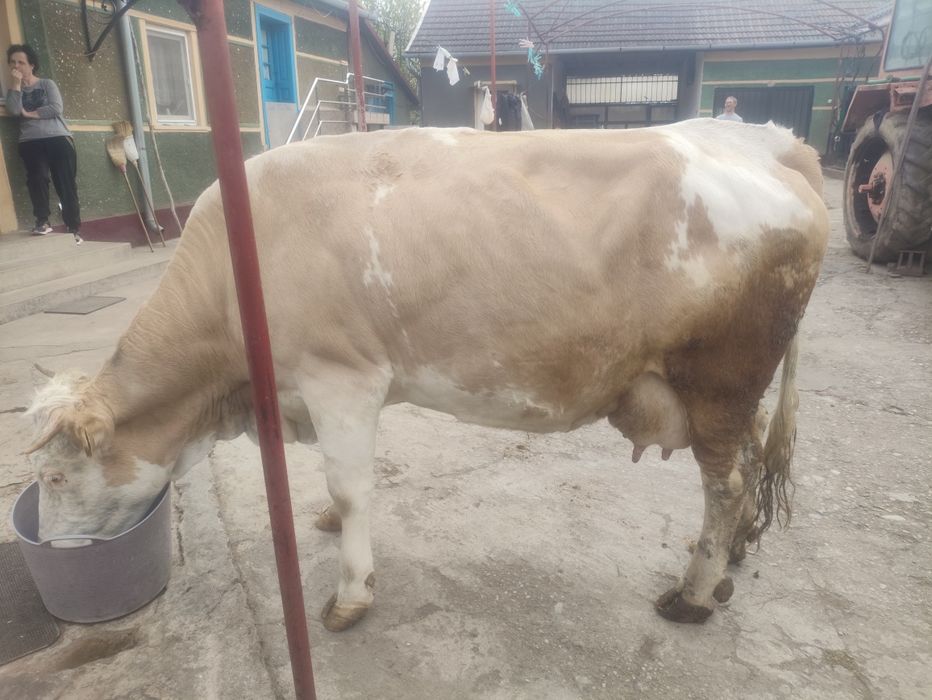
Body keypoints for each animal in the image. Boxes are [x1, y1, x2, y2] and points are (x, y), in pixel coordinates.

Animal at [25, 119, 829, 631]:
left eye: (58, 477)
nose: (58, 552)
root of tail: (767, 141)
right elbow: (335, 486)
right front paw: (325, 525)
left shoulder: (341, 375)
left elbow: (351, 488)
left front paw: (350, 595)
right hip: (731, 390)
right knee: (750, 458)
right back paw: (730, 559)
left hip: (719, 376)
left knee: (726, 483)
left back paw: (692, 594)